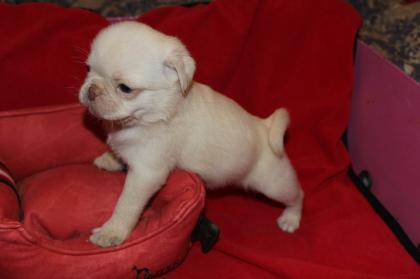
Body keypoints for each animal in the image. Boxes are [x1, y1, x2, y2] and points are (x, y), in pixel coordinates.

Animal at [79, 22, 304, 249]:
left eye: (125, 88)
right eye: (88, 69)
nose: (92, 90)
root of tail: (266, 127)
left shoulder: (146, 174)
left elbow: (126, 204)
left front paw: (111, 232)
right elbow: (118, 151)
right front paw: (110, 159)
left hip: (273, 184)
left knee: (297, 195)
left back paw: (291, 219)